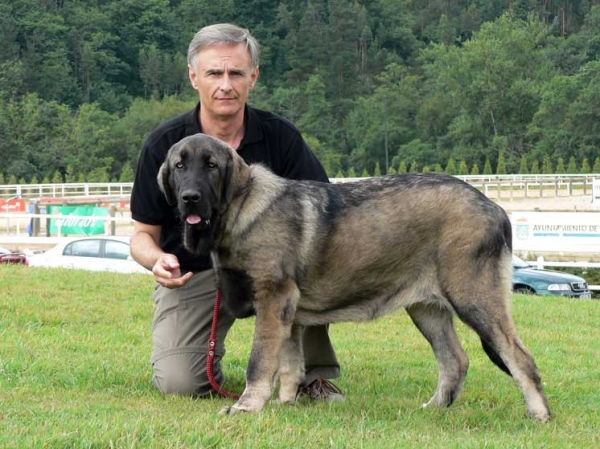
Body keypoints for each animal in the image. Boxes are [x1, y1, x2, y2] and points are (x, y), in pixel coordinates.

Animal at [157, 133, 552, 420]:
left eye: (211, 166)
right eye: (179, 166)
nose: (190, 197)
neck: (239, 210)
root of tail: (495, 207)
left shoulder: (272, 300)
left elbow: (261, 361)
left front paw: (246, 406)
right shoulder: (288, 314)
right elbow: (289, 364)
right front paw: (285, 404)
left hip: (474, 298)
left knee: (520, 358)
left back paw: (539, 415)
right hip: (427, 309)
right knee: (455, 360)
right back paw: (434, 409)